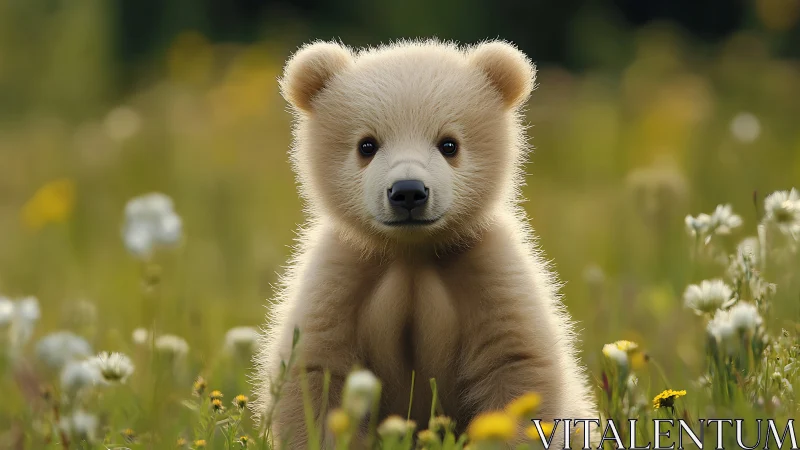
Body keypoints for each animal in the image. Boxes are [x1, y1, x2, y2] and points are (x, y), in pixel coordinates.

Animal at [252, 39, 597, 448]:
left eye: (449, 143)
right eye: (366, 144)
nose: (408, 192)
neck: (411, 250)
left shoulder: (486, 267)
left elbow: (515, 364)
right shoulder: (342, 275)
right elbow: (316, 373)